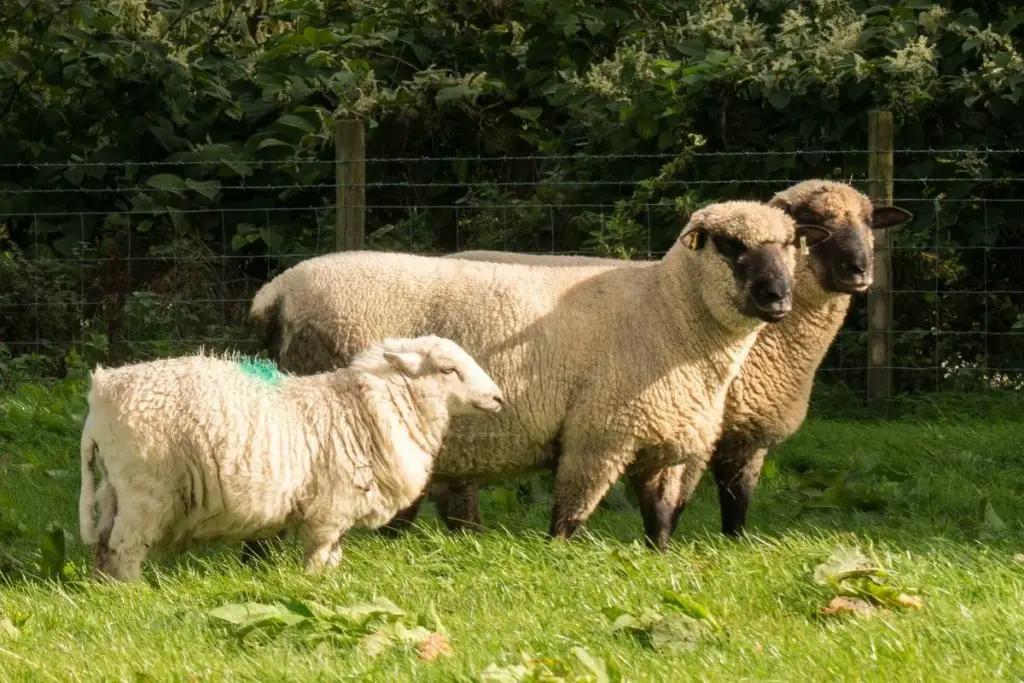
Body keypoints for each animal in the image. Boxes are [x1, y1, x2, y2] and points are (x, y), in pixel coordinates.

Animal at [77, 333, 501, 581]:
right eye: (448, 369)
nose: (498, 398)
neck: (365, 407)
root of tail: (101, 392)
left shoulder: (341, 510)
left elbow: (334, 554)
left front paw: (331, 582)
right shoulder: (331, 506)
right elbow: (318, 552)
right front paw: (314, 586)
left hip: (114, 487)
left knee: (103, 543)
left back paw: (105, 588)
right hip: (145, 488)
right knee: (125, 545)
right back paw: (133, 591)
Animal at [241, 198, 823, 548]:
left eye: (788, 245)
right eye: (732, 246)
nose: (778, 297)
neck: (668, 313)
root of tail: (275, 292)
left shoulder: (664, 436)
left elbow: (660, 514)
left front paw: (660, 559)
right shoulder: (599, 432)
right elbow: (573, 507)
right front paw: (557, 554)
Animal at [440, 179, 913, 548]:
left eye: (869, 221)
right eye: (816, 221)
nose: (860, 270)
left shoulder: (742, 435)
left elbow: (736, 501)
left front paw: (732, 547)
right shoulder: (689, 427)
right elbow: (679, 499)